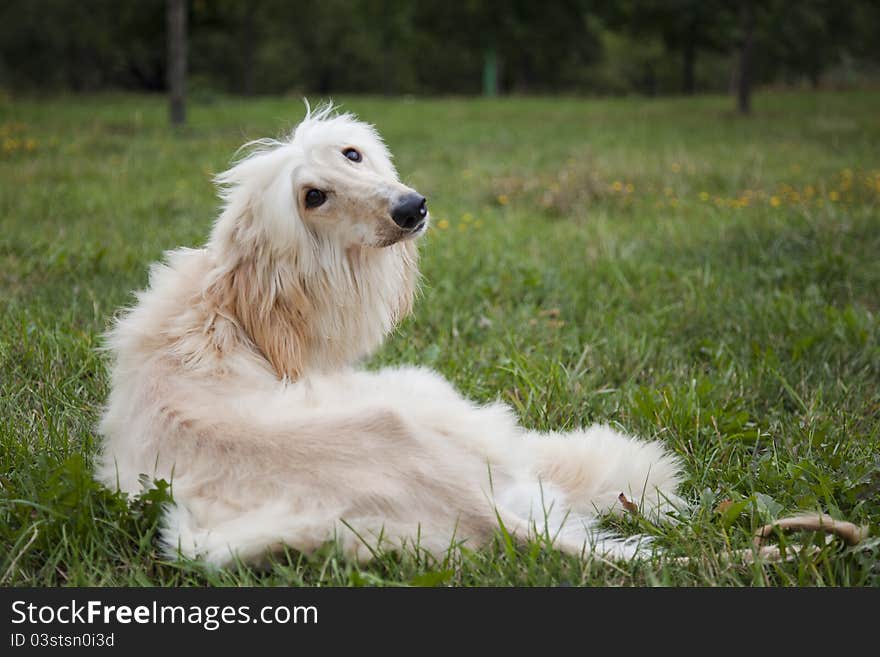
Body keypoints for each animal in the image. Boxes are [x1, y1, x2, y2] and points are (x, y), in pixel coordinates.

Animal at [99, 104, 684, 564]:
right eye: (314, 196)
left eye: (352, 154)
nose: (412, 209)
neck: (224, 314)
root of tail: (468, 505)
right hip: (433, 403)